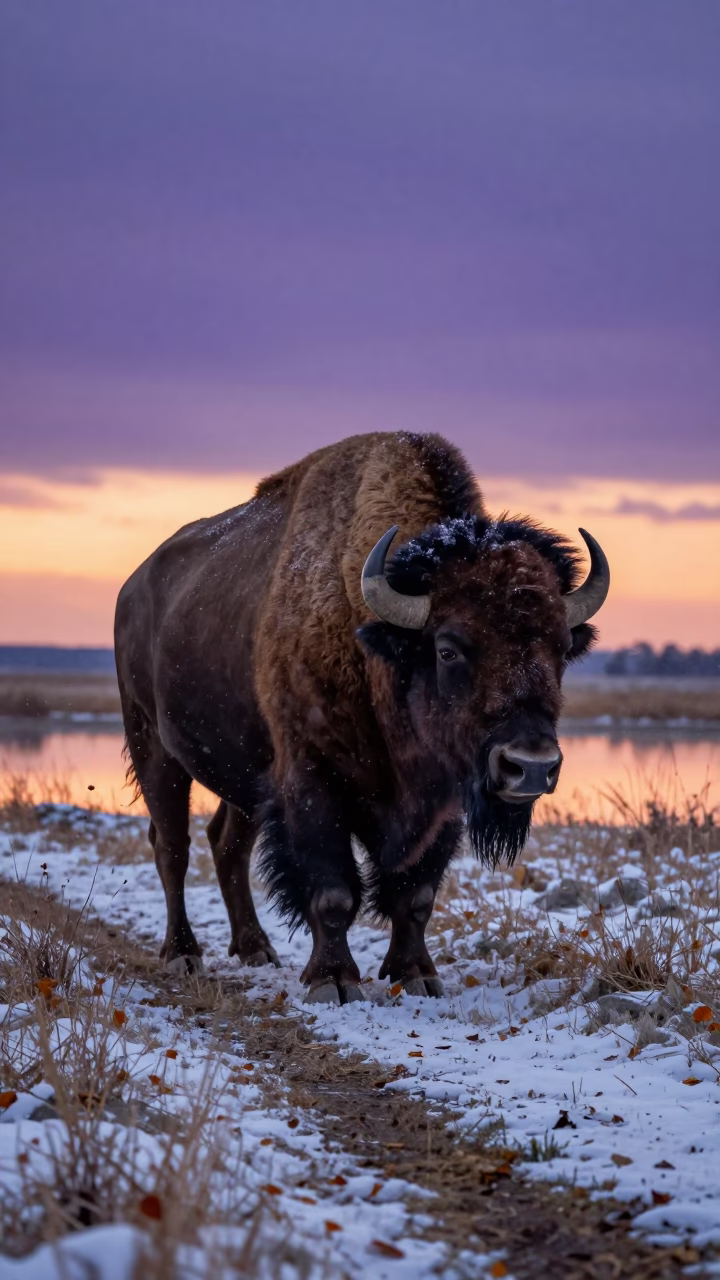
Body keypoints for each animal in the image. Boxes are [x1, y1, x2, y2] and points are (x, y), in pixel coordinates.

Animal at [114, 431, 609, 1003]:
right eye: (447, 649)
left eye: (561, 648)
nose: (530, 767)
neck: (376, 642)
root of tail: (132, 588)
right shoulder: (310, 782)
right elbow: (333, 892)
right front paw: (333, 980)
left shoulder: (439, 803)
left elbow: (415, 894)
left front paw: (417, 974)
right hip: (154, 747)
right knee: (172, 845)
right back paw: (183, 954)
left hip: (244, 776)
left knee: (227, 843)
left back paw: (256, 949)